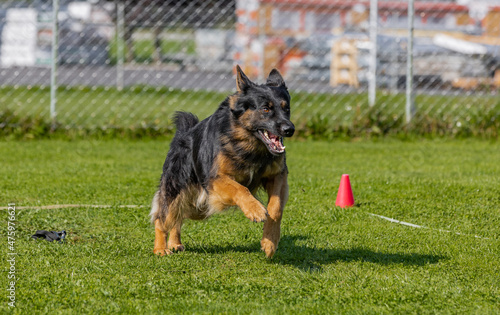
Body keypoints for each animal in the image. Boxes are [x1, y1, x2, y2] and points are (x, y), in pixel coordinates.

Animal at [150, 66, 294, 260]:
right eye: (265, 109)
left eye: (286, 109)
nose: (290, 129)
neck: (250, 146)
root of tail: (185, 133)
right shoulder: (216, 180)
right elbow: (241, 189)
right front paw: (254, 209)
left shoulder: (277, 176)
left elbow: (276, 208)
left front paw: (269, 242)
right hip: (178, 191)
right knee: (163, 218)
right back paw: (160, 248)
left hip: (198, 207)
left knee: (179, 217)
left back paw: (174, 243)